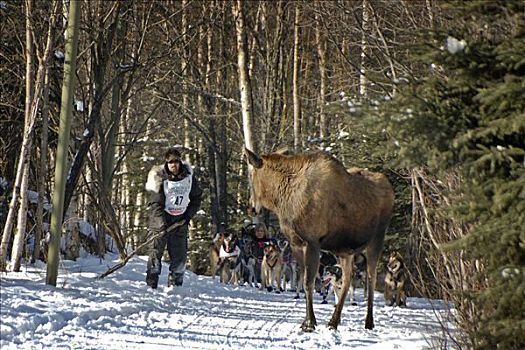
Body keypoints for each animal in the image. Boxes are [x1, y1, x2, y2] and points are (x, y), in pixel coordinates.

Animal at [246, 148, 392, 330]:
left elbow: (308, 282)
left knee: (371, 278)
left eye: (251, 176)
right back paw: (334, 321)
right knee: (347, 279)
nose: (251, 207)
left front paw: (309, 323)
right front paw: (308, 321)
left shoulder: (312, 242)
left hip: (376, 239)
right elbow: (305, 282)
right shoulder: (296, 244)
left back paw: (368, 322)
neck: (283, 200)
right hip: (346, 250)